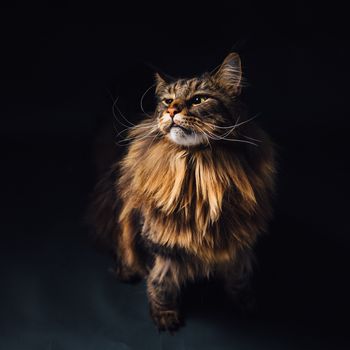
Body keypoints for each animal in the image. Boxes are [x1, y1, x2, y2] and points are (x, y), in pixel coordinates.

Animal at [91, 53, 278, 332]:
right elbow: (160, 281)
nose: (171, 111)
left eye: (198, 99)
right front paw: (165, 315)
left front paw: (245, 305)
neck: (198, 170)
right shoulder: (157, 241)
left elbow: (240, 277)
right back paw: (126, 272)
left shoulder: (239, 242)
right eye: (168, 101)